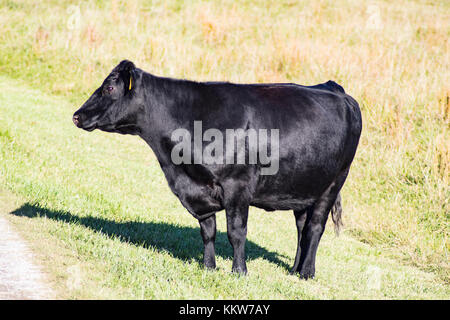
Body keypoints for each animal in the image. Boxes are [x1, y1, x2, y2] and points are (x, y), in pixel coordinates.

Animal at [74, 59, 362, 278]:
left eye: (110, 87)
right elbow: (208, 231)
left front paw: (239, 271)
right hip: (302, 186)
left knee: (314, 227)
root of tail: (336, 89)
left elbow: (236, 232)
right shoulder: (198, 191)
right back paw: (294, 269)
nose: (77, 115)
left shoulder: (238, 187)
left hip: (334, 181)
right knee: (302, 227)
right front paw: (209, 267)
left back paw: (307, 273)